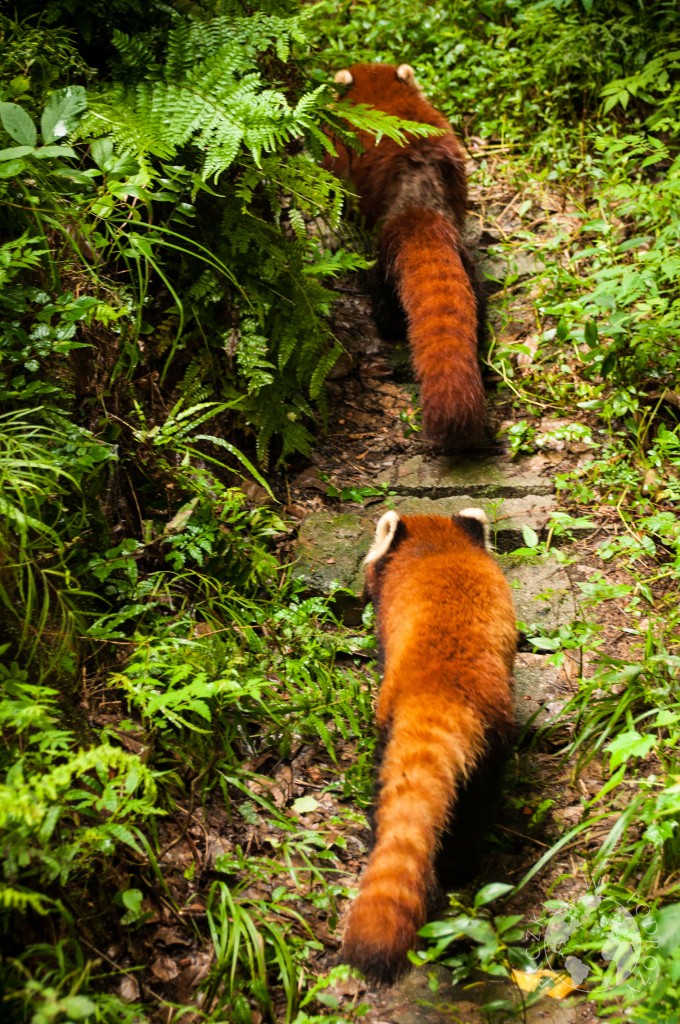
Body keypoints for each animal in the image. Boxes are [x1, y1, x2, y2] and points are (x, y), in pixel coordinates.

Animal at [327, 64, 485, 448]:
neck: (382, 95)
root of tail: (417, 202)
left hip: (384, 253)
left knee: (382, 291)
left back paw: (386, 323)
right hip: (460, 245)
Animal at [342, 509, 518, 983]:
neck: (436, 546)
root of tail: (438, 688)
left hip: (388, 723)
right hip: (493, 744)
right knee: (475, 804)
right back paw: (460, 869)